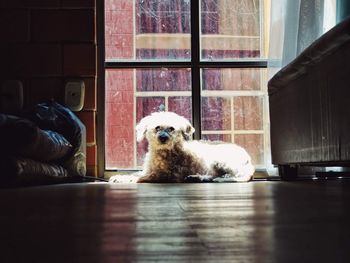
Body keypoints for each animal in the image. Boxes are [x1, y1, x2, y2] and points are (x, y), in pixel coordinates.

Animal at [109, 111, 254, 184]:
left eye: (171, 128)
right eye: (157, 127)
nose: (163, 138)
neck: (164, 152)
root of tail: (248, 159)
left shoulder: (166, 174)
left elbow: (141, 177)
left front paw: (126, 179)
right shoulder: (150, 169)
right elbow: (137, 173)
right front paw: (122, 176)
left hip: (221, 161)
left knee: (240, 177)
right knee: (212, 176)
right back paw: (197, 177)